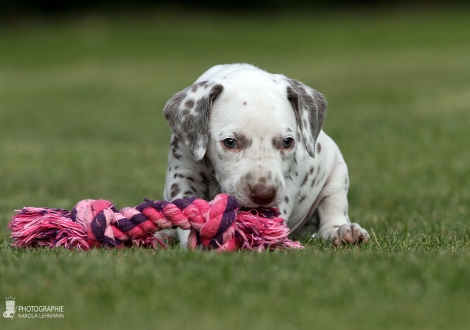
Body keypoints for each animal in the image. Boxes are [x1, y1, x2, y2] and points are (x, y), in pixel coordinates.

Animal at [163, 63, 370, 248]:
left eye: (287, 142)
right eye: (230, 142)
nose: (264, 195)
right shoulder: (183, 176)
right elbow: (186, 209)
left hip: (337, 174)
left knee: (333, 207)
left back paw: (343, 231)